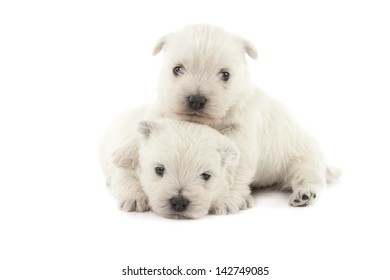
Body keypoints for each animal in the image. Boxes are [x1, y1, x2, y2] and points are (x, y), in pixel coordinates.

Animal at [98, 107, 250, 219]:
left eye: (206, 176)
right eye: (159, 169)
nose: (179, 203)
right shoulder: (130, 163)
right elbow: (125, 178)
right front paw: (134, 200)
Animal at [149, 24, 342, 208]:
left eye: (225, 74)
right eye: (177, 69)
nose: (197, 100)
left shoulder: (240, 137)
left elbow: (233, 173)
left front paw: (227, 202)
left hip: (304, 159)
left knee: (310, 177)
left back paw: (304, 194)